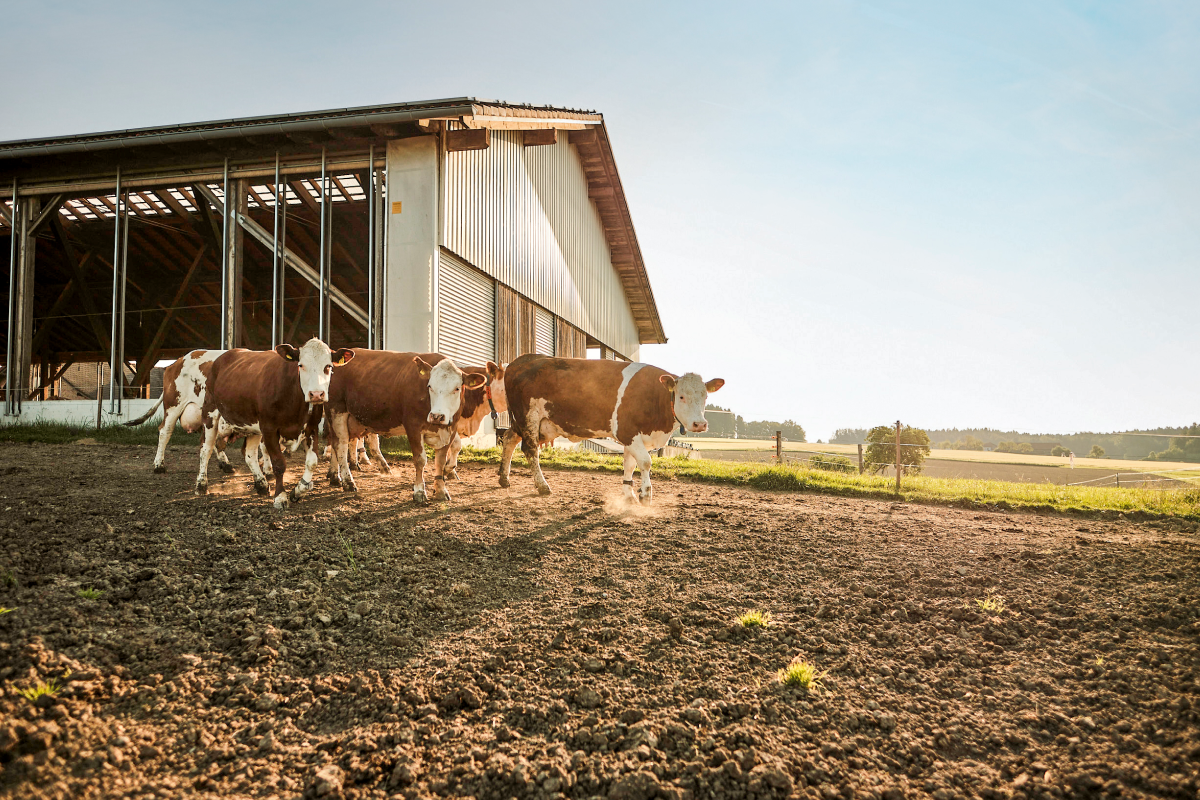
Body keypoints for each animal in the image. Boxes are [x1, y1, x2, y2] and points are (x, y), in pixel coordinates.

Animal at [121, 350, 267, 474]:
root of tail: (179, 361)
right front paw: (267, 470)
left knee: (210, 438)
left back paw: (225, 464)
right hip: (174, 405)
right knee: (165, 431)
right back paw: (159, 465)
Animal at [194, 338, 352, 506]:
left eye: (328, 366)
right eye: (301, 365)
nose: (316, 394)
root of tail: (223, 357)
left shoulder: (311, 428)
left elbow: (312, 463)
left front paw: (297, 491)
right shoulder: (269, 429)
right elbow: (278, 464)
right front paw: (280, 497)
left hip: (252, 425)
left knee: (249, 453)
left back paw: (261, 484)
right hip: (210, 411)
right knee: (206, 448)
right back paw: (201, 485)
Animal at [321, 350, 494, 501]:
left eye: (457, 388)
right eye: (430, 386)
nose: (437, 416)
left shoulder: (450, 430)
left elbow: (441, 460)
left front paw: (440, 490)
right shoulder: (413, 427)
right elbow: (420, 459)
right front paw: (419, 492)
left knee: (336, 444)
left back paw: (335, 477)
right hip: (337, 411)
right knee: (341, 445)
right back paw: (348, 481)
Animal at [496, 355, 720, 503]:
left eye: (705, 397)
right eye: (681, 396)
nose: (700, 424)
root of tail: (520, 361)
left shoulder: (633, 436)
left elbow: (630, 464)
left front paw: (629, 494)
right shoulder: (627, 431)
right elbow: (645, 462)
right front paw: (645, 494)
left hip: (529, 423)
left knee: (509, 438)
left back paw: (504, 478)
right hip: (528, 417)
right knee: (530, 449)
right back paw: (542, 486)